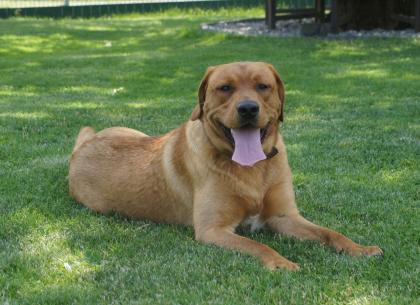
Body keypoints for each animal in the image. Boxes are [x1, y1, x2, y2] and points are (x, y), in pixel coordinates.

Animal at [69, 61, 384, 268]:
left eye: (263, 86)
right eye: (224, 88)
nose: (248, 108)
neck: (251, 168)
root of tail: (81, 148)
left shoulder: (284, 216)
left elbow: (330, 232)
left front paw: (359, 248)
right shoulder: (213, 230)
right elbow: (257, 245)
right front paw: (281, 262)